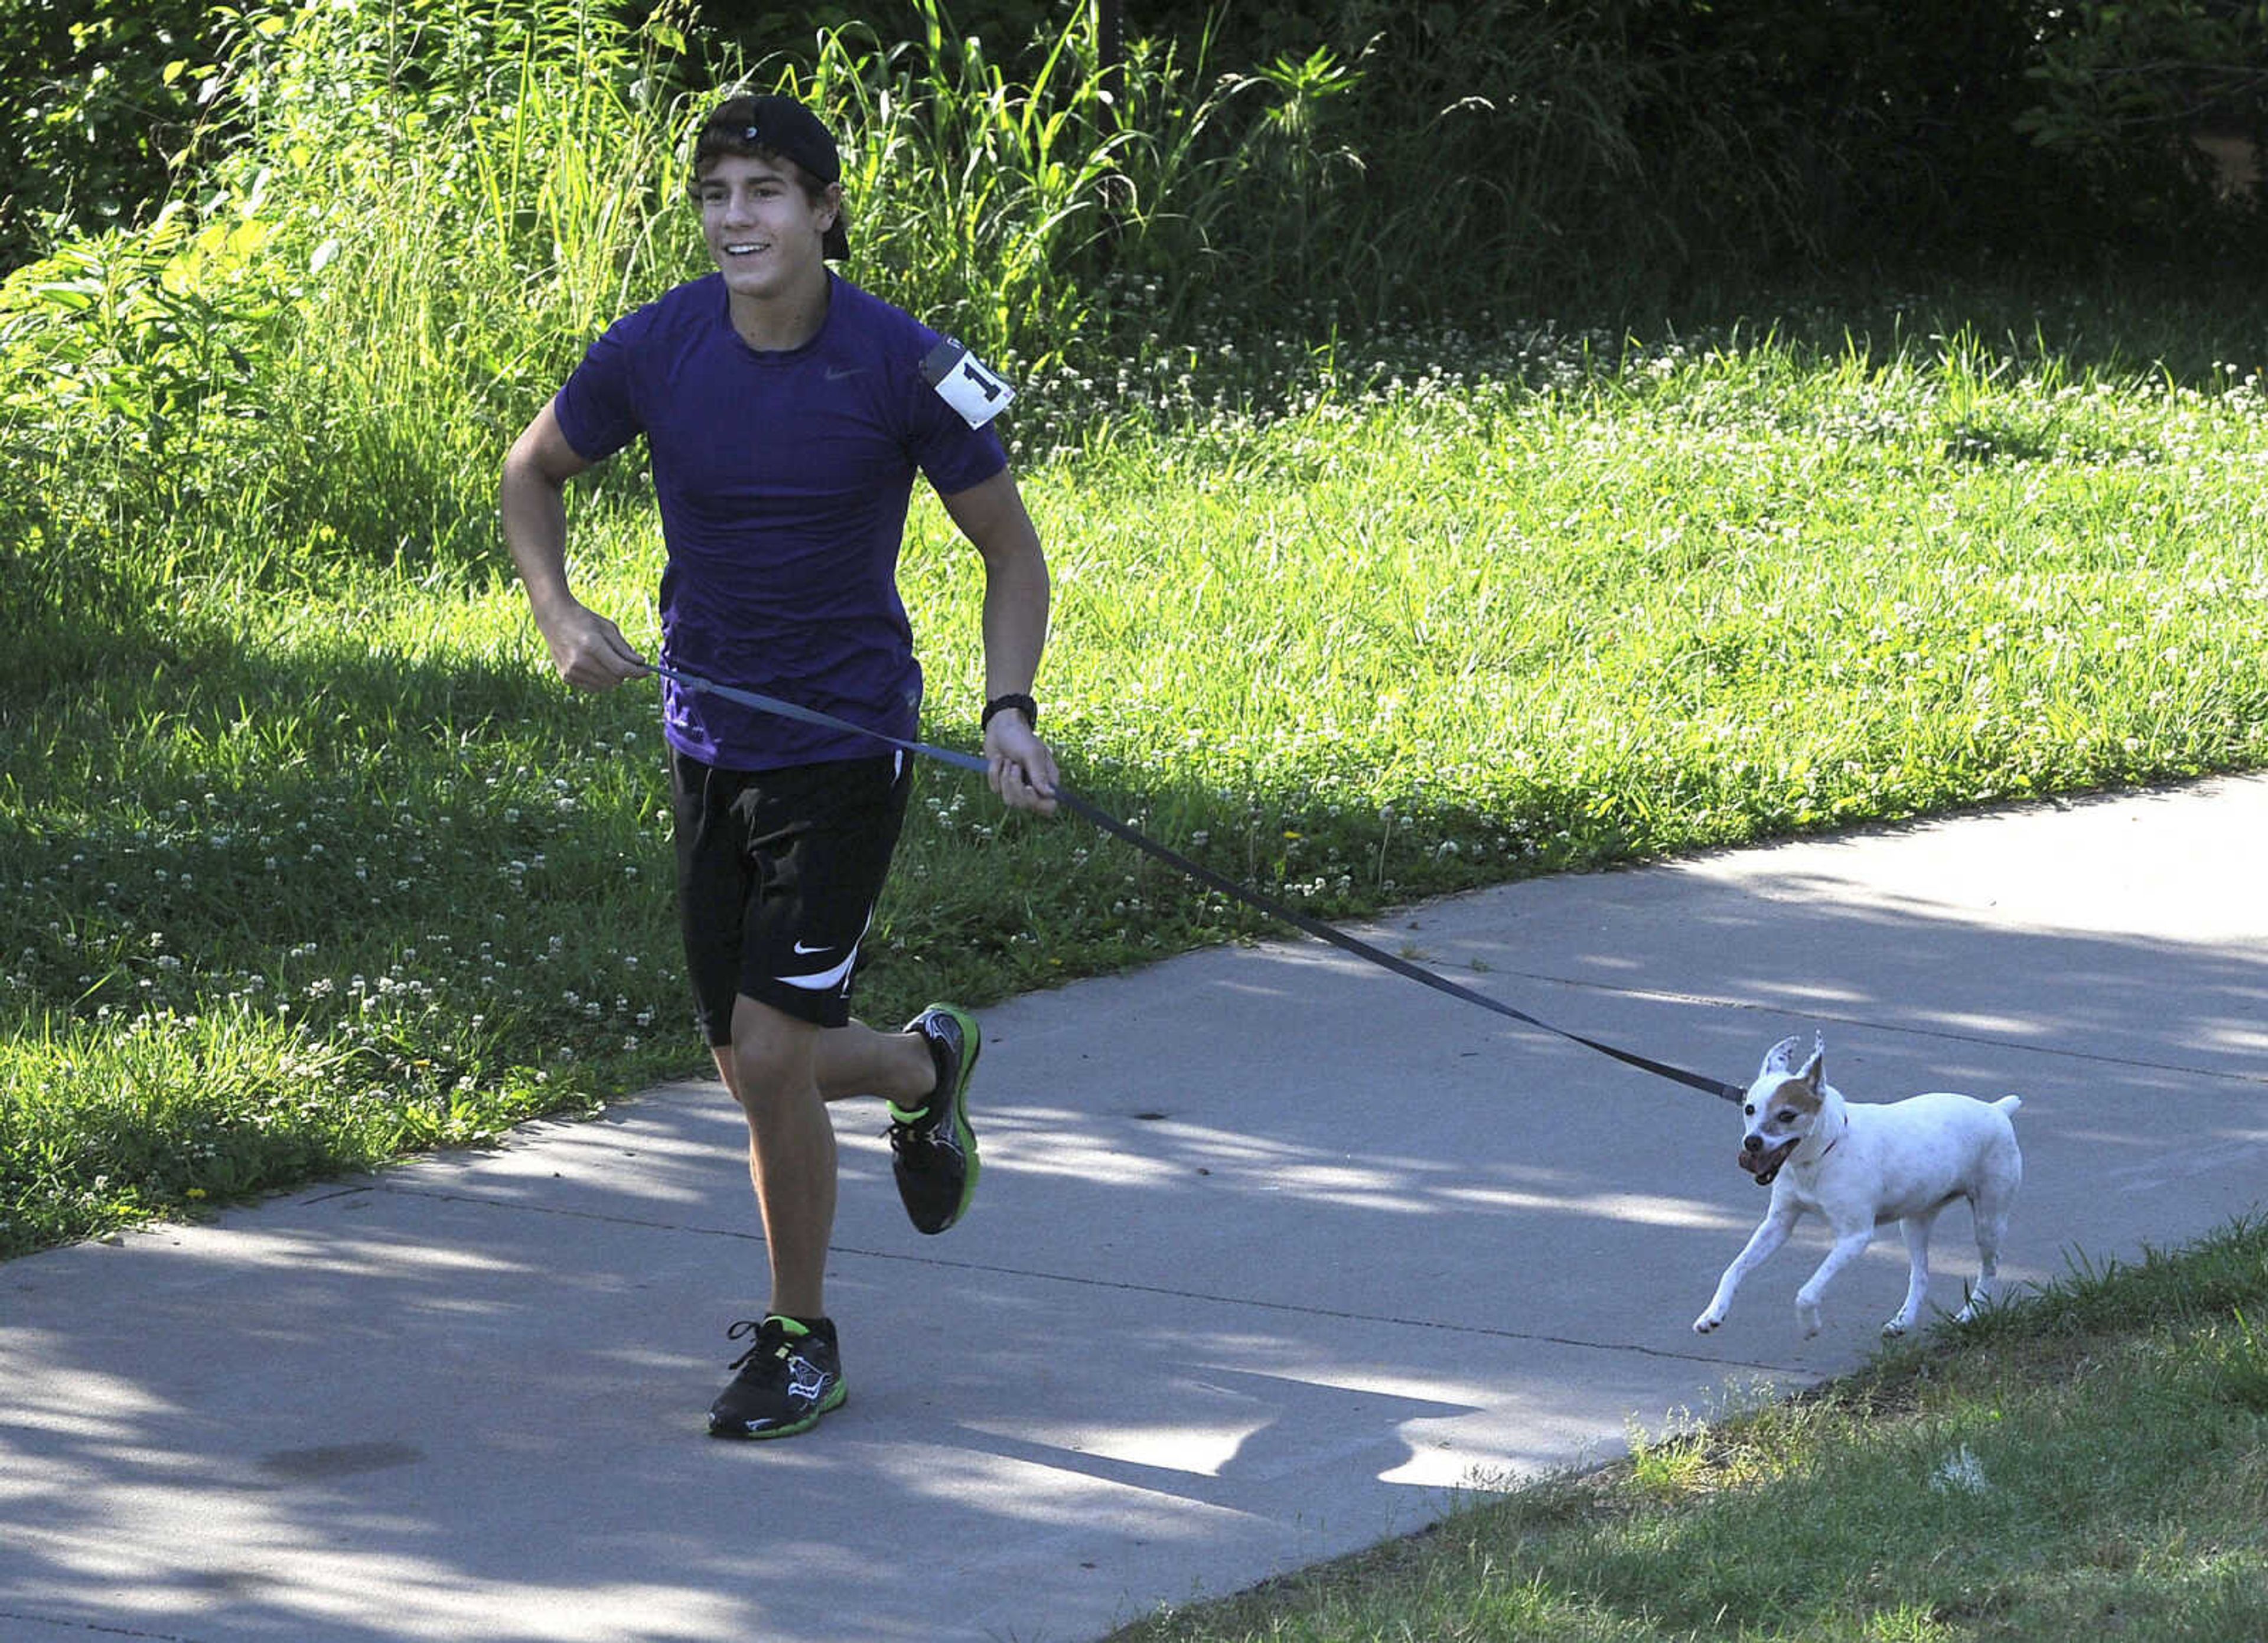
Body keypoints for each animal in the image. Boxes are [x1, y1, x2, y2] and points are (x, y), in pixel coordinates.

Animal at [1696, 1039, 2032, 1334]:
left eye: (1787, 1115)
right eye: (1749, 1109)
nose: (1751, 1143)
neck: (1824, 1153)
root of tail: (1997, 1110)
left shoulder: (1854, 1238)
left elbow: (1807, 1293)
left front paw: (1810, 1326)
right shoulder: (1778, 1225)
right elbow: (1735, 1268)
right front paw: (1713, 1313)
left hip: (1988, 1220)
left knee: (1990, 1266)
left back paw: (1970, 1313)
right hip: (1915, 1222)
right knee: (1921, 1274)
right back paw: (1903, 1321)